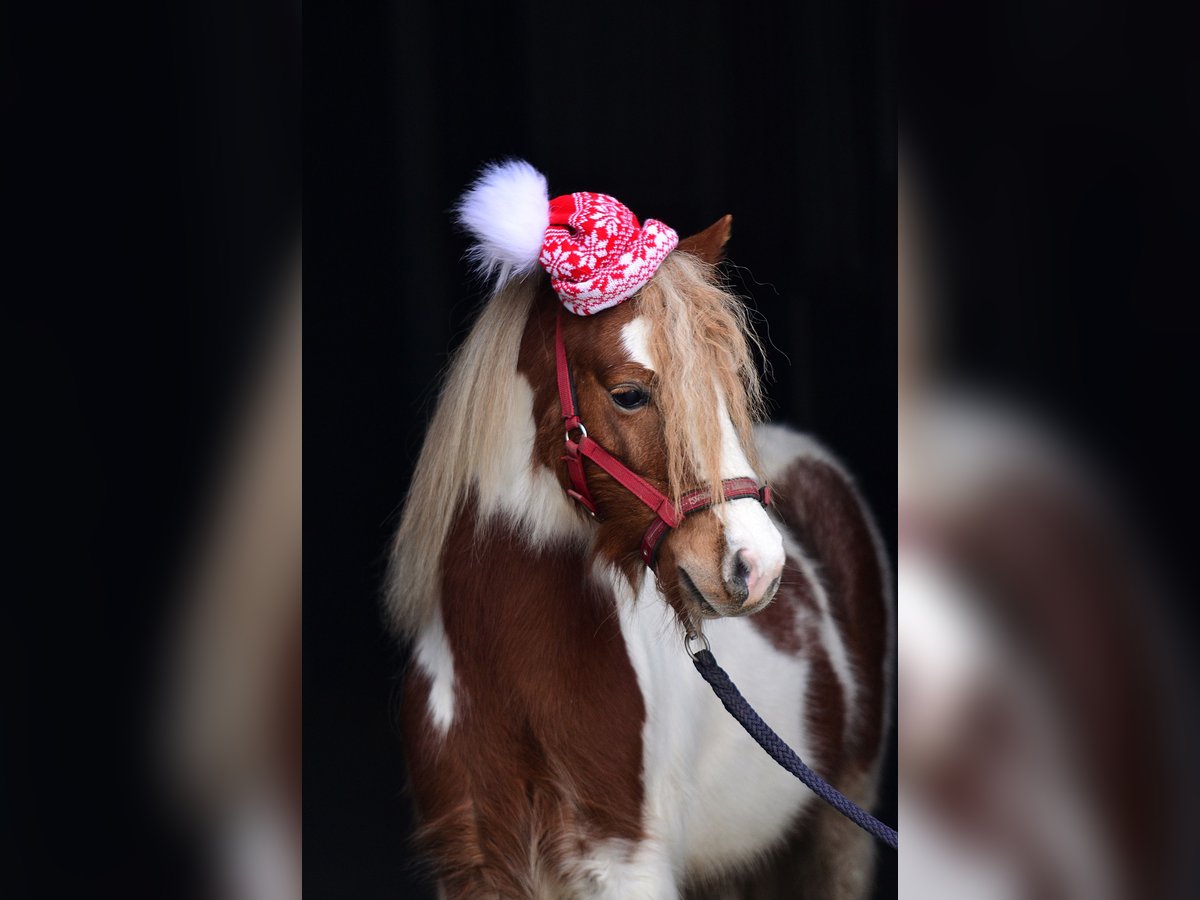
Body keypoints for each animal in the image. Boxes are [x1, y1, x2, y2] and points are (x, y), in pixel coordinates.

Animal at [384, 164, 892, 900]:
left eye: (726, 385)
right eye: (628, 394)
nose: (758, 565)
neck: (508, 679)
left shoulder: (626, 866)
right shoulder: (474, 870)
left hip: (841, 825)